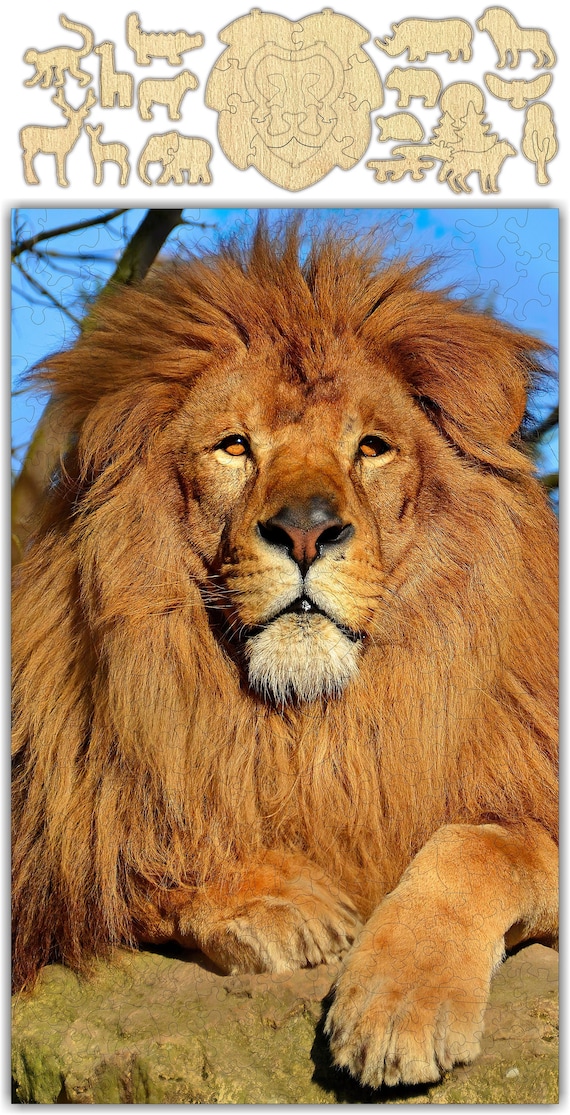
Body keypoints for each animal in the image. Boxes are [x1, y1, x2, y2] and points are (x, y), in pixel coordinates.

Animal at [12, 219, 558, 1091]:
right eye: (235, 446)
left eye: (371, 447)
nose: (306, 530)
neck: (314, 727)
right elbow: (122, 851)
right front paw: (278, 899)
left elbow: (484, 844)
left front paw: (401, 1002)